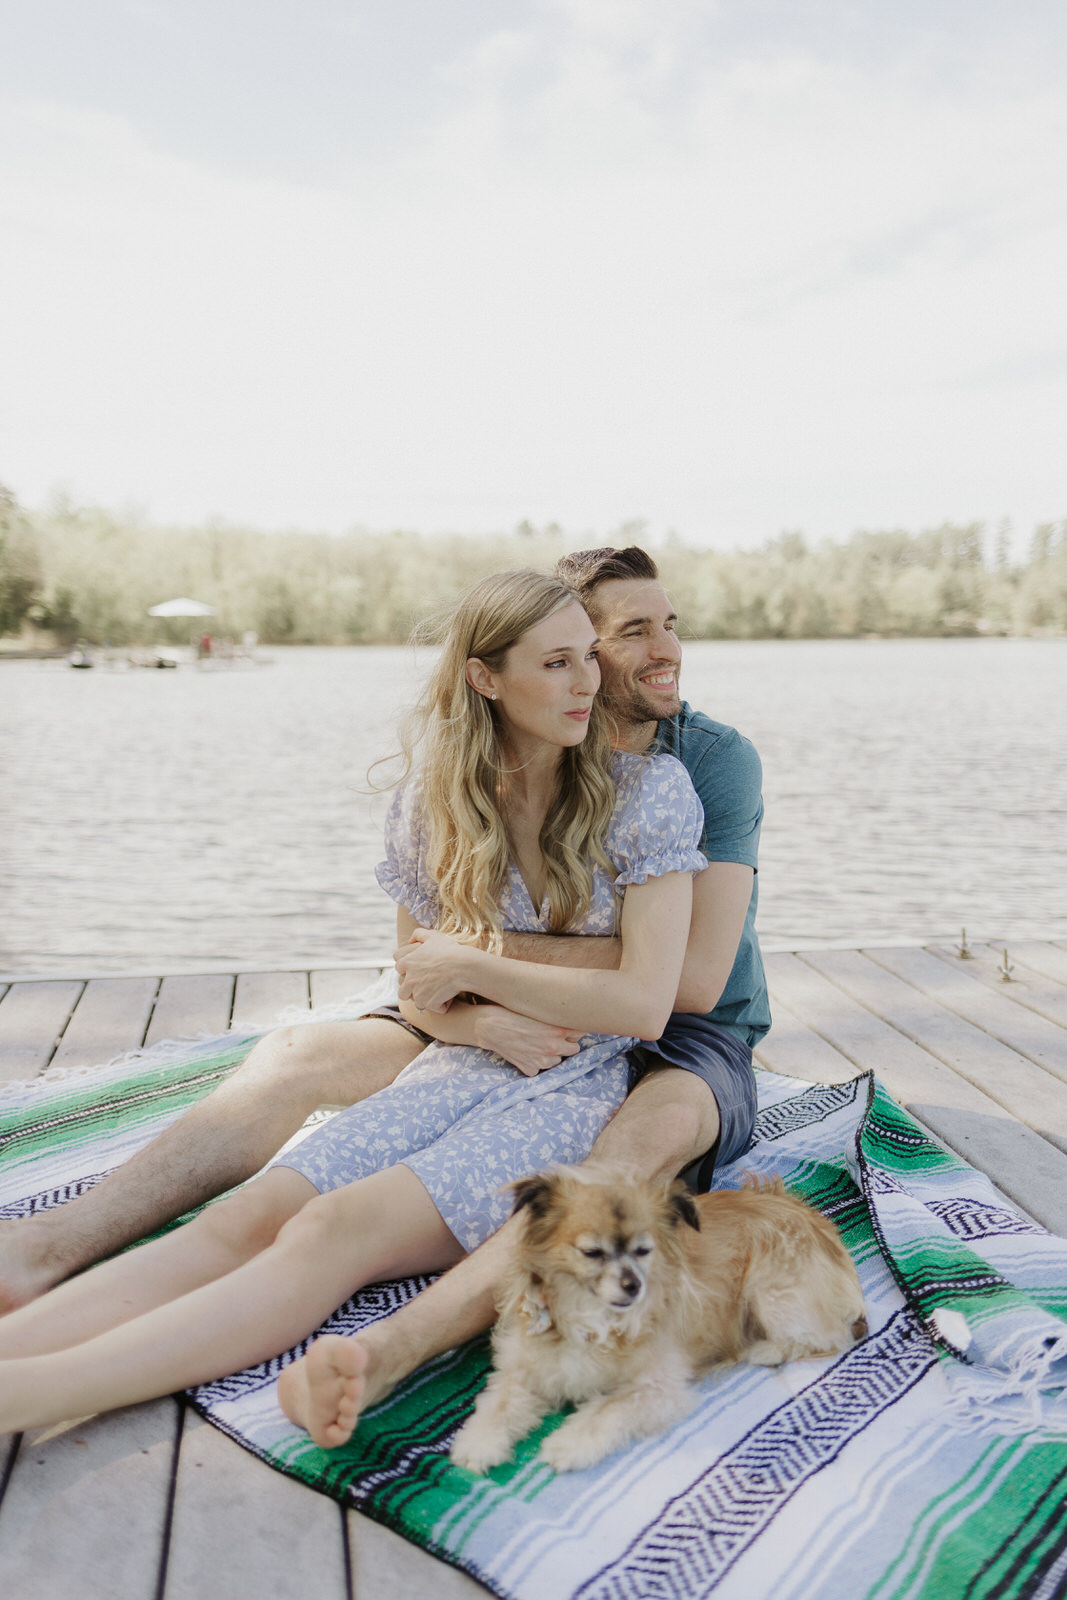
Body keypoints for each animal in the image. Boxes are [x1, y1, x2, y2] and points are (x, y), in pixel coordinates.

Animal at [451, 1164, 870, 1472]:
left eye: (643, 1251)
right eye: (591, 1253)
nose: (633, 1285)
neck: (592, 1318)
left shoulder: (657, 1389)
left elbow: (606, 1410)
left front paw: (568, 1445)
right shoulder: (527, 1369)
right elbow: (499, 1402)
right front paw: (478, 1443)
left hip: (770, 1292)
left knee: (829, 1338)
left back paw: (765, 1350)